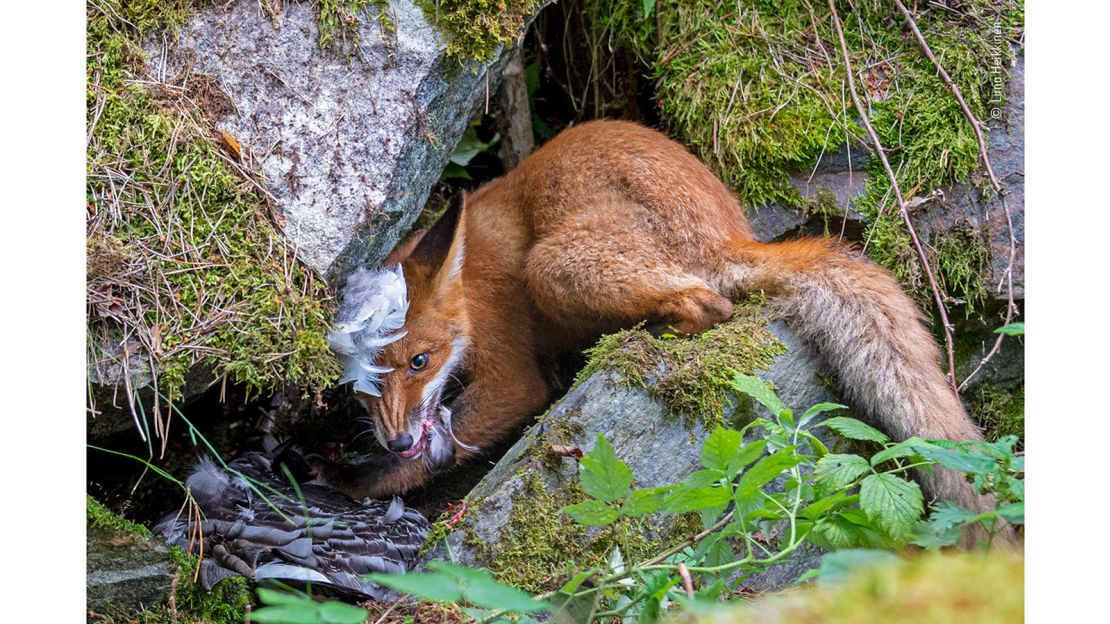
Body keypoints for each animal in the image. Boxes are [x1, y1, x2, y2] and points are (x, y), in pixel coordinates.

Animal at [321, 118, 990, 517]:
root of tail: (732, 235)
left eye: (419, 361)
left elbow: (439, 447)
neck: (472, 287)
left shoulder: (514, 376)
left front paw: (355, 480)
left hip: (554, 266)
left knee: (710, 302)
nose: (397, 438)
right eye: (359, 388)